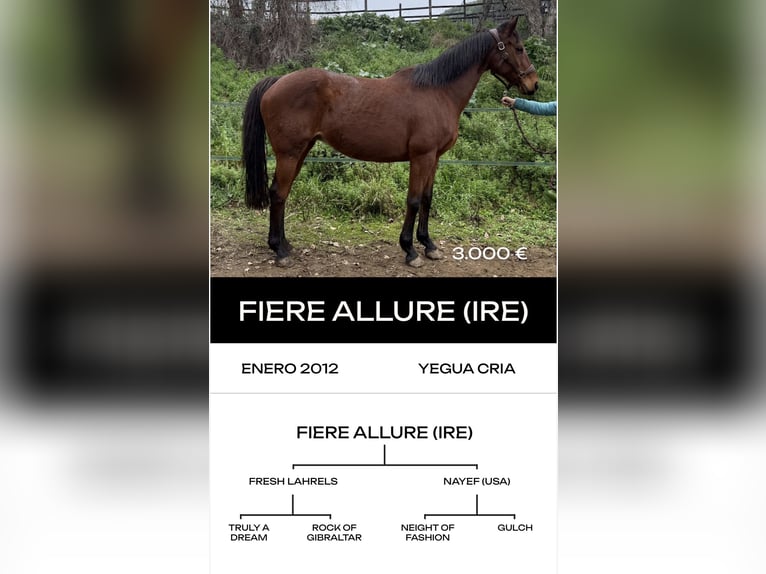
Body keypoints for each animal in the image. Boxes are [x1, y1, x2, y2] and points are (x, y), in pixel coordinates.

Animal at [242, 17, 538, 267]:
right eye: (519, 48)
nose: (534, 84)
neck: (439, 92)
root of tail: (276, 82)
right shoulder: (421, 157)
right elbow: (414, 201)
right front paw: (410, 250)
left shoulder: (434, 158)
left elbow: (428, 199)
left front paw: (429, 245)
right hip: (289, 154)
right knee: (278, 194)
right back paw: (279, 251)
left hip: (301, 151)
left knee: (282, 194)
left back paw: (285, 245)